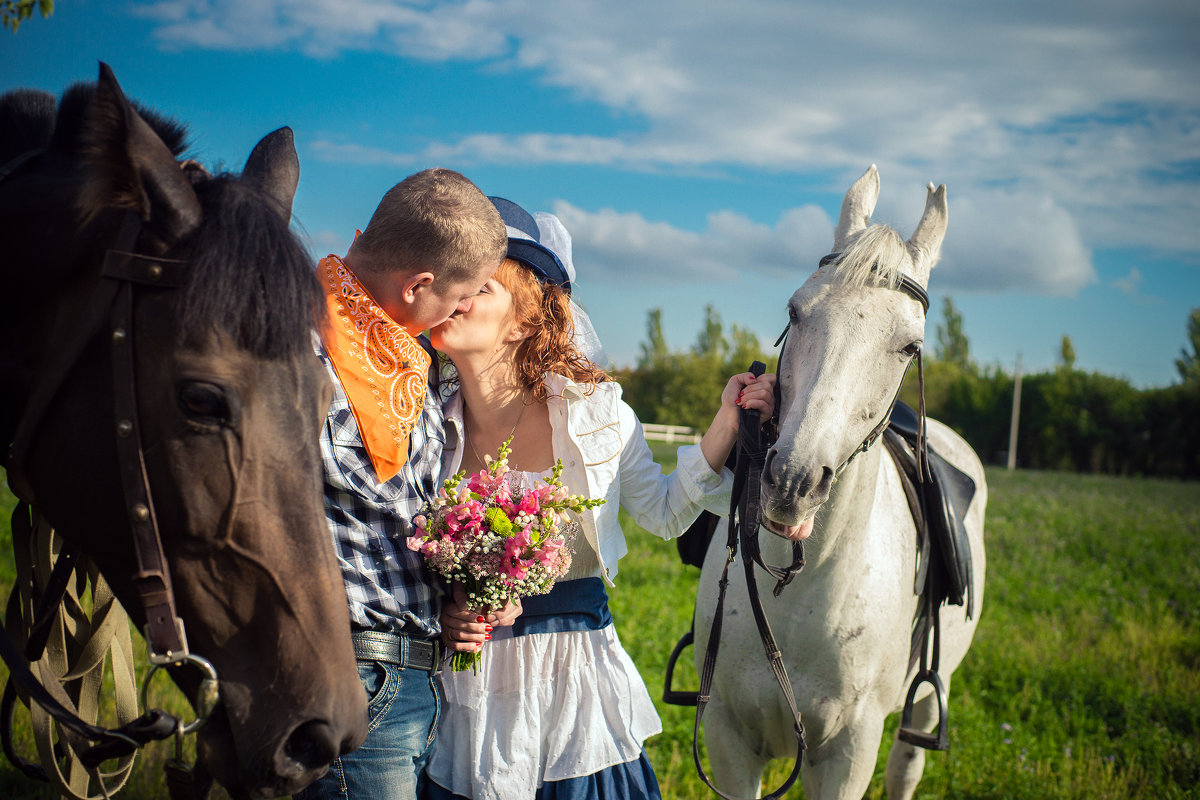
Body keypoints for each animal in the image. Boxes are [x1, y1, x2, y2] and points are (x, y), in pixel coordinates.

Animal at [696, 165, 984, 796]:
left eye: (911, 345)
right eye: (795, 311)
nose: (792, 480)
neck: (797, 594)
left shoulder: (847, 753)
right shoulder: (729, 738)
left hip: (928, 699)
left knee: (907, 765)